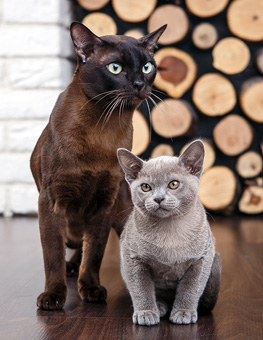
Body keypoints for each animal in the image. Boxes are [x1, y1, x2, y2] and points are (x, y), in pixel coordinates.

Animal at [31, 20, 166, 308]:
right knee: (71, 243)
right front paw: (53, 297)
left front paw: (91, 290)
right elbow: (52, 255)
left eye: (147, 67)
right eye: (115, 67)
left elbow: (95, 252)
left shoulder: (104, 203)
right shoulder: (52, 201)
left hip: (124, 213)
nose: (139, 83)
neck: (104, 125)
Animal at [118, 139, 222, 326]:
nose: (158, 198)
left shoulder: (202, 258)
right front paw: (146, 313)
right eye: (146, 187)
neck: (170, 231)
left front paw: (183, 312)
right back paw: (159, 307)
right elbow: (141, 289)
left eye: (173, 184)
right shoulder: (132, 257)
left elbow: (190, 288)